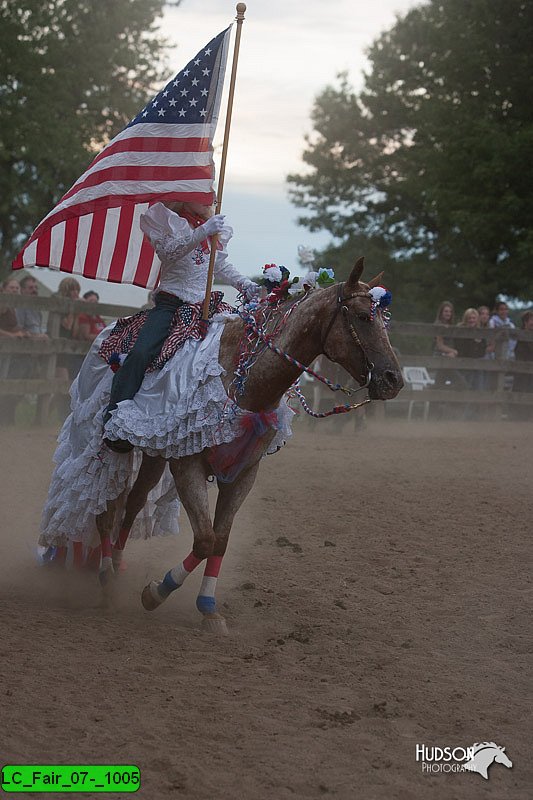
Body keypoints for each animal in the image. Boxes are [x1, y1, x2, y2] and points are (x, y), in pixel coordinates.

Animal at [90, 260, 400, 636]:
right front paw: (156, 592)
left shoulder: (243, 474)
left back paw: (117, 567)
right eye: (362, 316)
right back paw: (105, 578)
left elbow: (220, 539)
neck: (243, 384)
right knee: (107, 510)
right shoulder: (187, 466)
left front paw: (208, 608)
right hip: (112, 449)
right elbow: (205, 539)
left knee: (133, 504)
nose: (394, 380)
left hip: (154, 455)